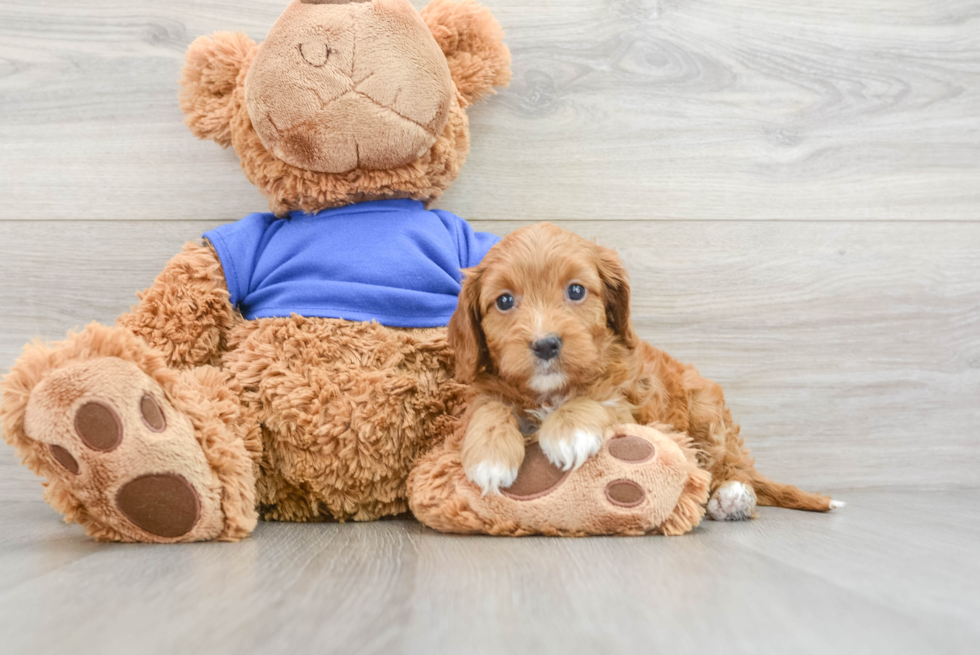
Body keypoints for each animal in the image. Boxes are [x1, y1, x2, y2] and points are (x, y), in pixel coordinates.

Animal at [452, 223, 844, 520]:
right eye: (504, 301)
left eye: (576, 290)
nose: (546, 344)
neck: (550, 391)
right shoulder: (488, 389)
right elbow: (490, 408)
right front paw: (489, 456)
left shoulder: (631, 399)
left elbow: (597, 398)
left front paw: (568, 430)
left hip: (706, 413)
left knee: (728, 466)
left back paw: (731, 495)